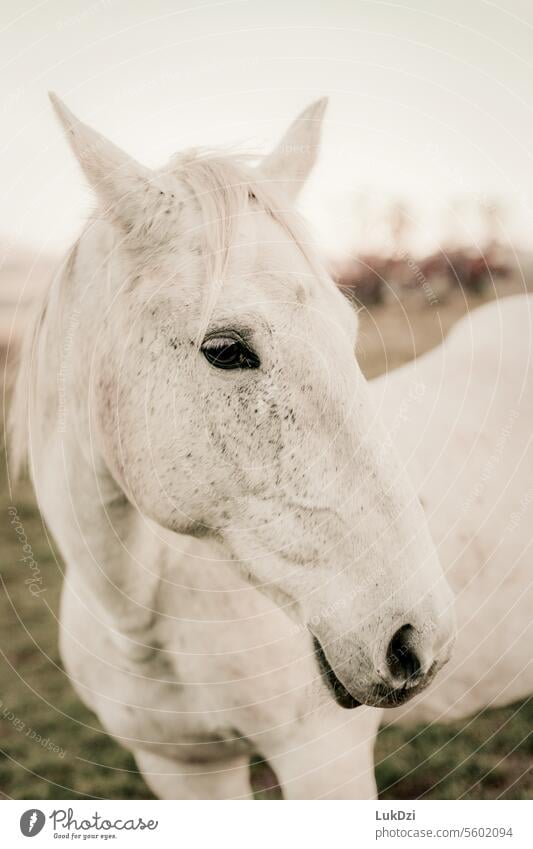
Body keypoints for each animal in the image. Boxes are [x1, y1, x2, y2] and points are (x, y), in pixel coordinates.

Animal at [10, 96, 528, 800]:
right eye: (225, 350)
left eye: (348, 331)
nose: (418, 641)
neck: (141, 613)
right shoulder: (182, 770)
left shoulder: (323, 759)